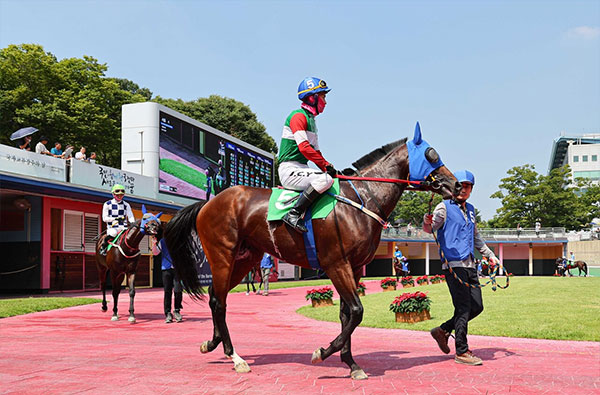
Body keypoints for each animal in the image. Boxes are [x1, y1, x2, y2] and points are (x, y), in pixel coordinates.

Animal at [166, 124, 458, 380]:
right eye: (432, 154)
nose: (456, 185)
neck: (361, 200)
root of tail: (208, 203)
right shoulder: (336, 264)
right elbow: (356, 311)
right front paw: (323, 352)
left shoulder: (353, 268)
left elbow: (346, 314)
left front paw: (351, 364)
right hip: (222, 256)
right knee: (219, 301)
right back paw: (235, 357)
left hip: (244, 259)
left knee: (217, 297)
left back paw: (213, 344)